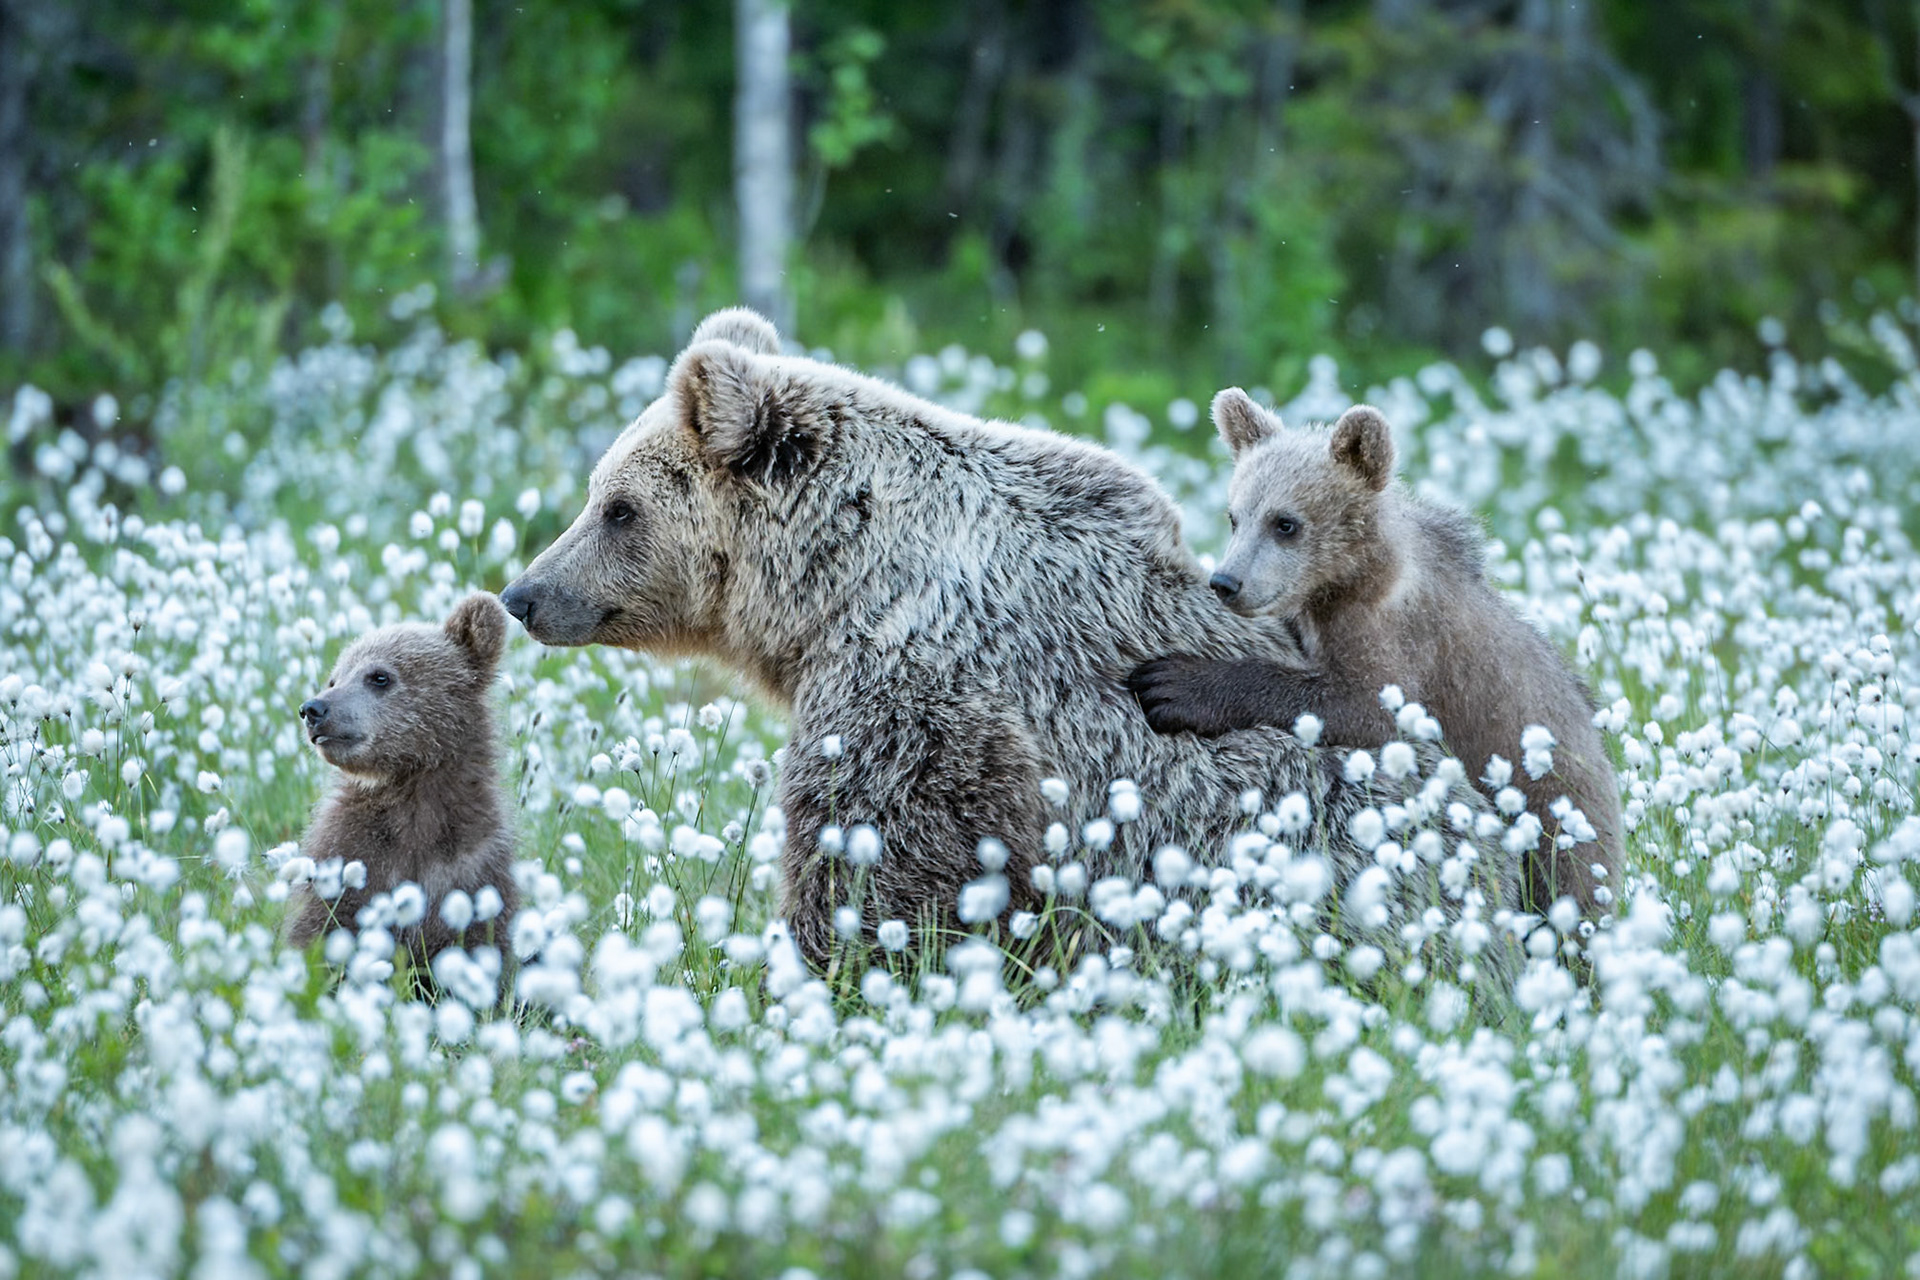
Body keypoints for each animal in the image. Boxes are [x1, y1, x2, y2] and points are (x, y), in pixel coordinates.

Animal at [288, 592, 520, 978]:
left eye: (379, 676)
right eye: (335, 678)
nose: (314, 709)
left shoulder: (472, 867)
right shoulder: (349, 856)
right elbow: (321, 929)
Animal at [501, 309, 1519, 970]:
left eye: (619, 508)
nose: (523, 594)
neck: (840, 579)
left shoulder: (929, 689)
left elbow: (880, 850)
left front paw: (830, 965)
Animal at [1128, 390, 1622, 920]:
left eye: (1285, 523)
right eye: (1234, 516)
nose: (1226, 582)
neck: (1347, 583)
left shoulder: (1401, 640)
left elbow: (1365, 707)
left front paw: (1173, 685)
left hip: (1557, 820)